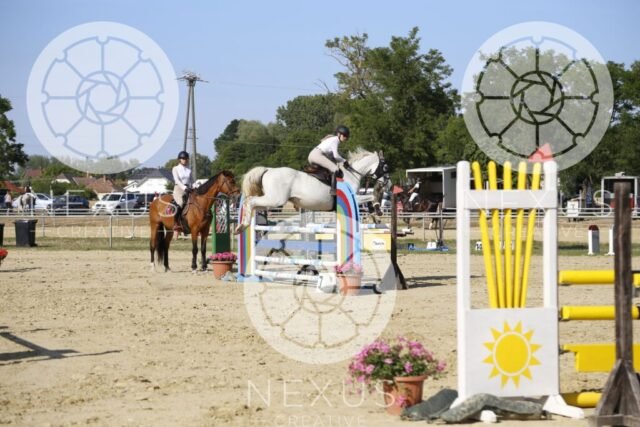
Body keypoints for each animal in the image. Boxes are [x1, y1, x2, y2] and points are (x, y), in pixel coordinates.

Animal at [235, 149, 388, 233]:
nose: (387, 182)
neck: (351, 174)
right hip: (275, 200)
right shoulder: (353, 198)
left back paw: (242, 225)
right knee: (250, 201)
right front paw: (377, 208)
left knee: (253, 204)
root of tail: (268, 170)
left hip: (270, 201)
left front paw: (376, 213)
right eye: (385, 167)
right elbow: (370, 197)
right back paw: (242, 226)